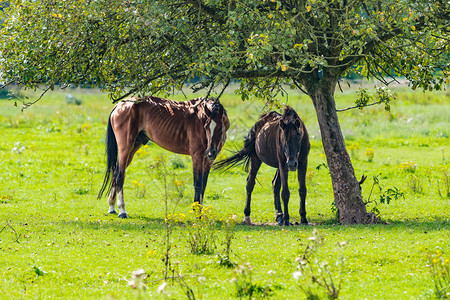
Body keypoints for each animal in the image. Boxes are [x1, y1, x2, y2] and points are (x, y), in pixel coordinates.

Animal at [98, 96, 229, 218]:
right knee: (120, 175)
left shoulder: (207, 161)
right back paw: (122, 211)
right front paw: (197, 212)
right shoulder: (197, 156)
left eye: (220, 127)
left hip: (133, 148)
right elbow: (197, 184)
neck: (199, 117)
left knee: (115, 172)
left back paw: (112, 207)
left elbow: (203, 185)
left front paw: (200, 211)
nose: (211, 152)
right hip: (125, 148)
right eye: (206, 126)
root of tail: (120, 105)